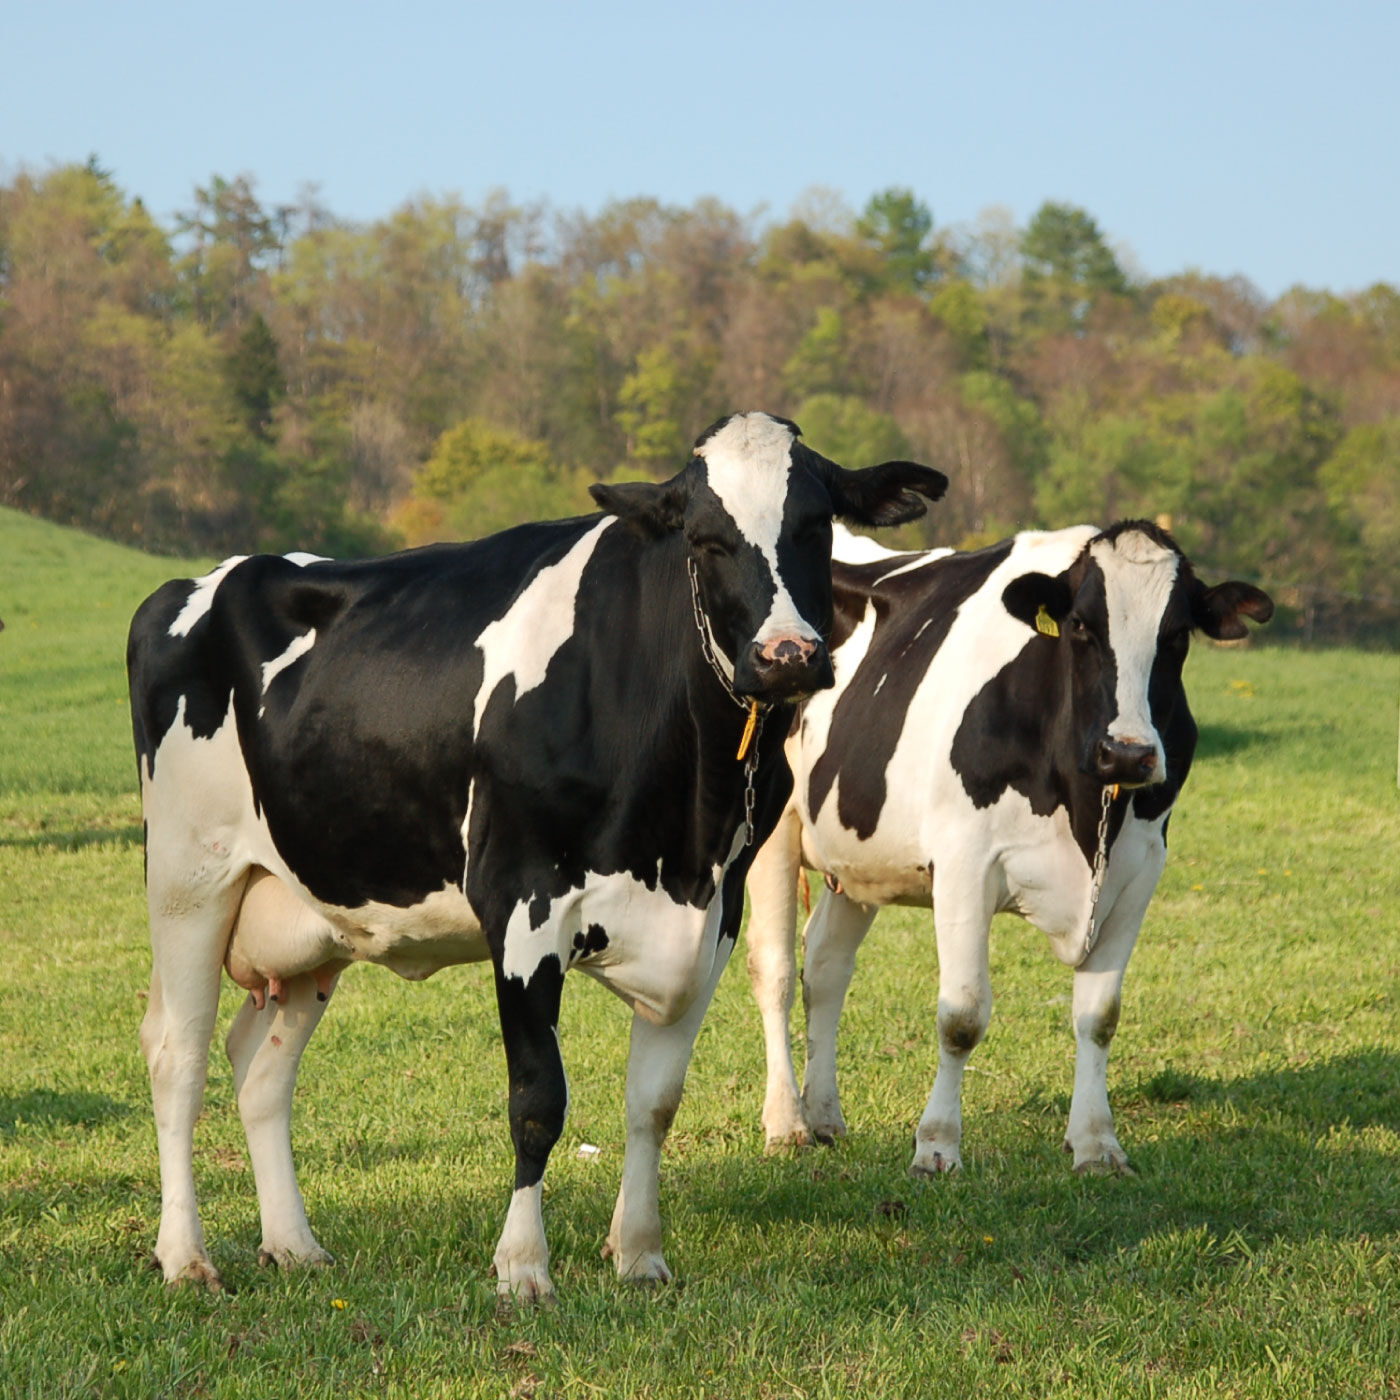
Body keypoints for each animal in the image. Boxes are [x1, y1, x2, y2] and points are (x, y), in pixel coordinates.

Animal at [128, 411, 952, 1299]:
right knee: (178, 1056)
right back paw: (186, 1256)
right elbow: (536, 1101)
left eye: (816, 525)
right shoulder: (524, 907)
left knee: (260, 1070)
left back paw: (294, 1244)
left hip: (309, 914)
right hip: (189, 879)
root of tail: (202, 582)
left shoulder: (712, 918)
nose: (787, 656)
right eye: (705, 539)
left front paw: (639, 1252)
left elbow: (655, 1102)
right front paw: (523, 1265)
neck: (682, 824)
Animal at [750, 520, 1276, 1176]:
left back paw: (824, 1117)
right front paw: (937, 1145)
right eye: (1080, 625)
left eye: (1178, 634)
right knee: (774, 972)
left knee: (824, 965)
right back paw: (787, 1123)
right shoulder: (963, 863)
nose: (1127, 753)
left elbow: (1099, 1017)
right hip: (772, 830)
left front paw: (1097, 1143)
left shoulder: (1139, 871)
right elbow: (962, 1016)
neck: (1086, 808)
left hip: (856, 852)